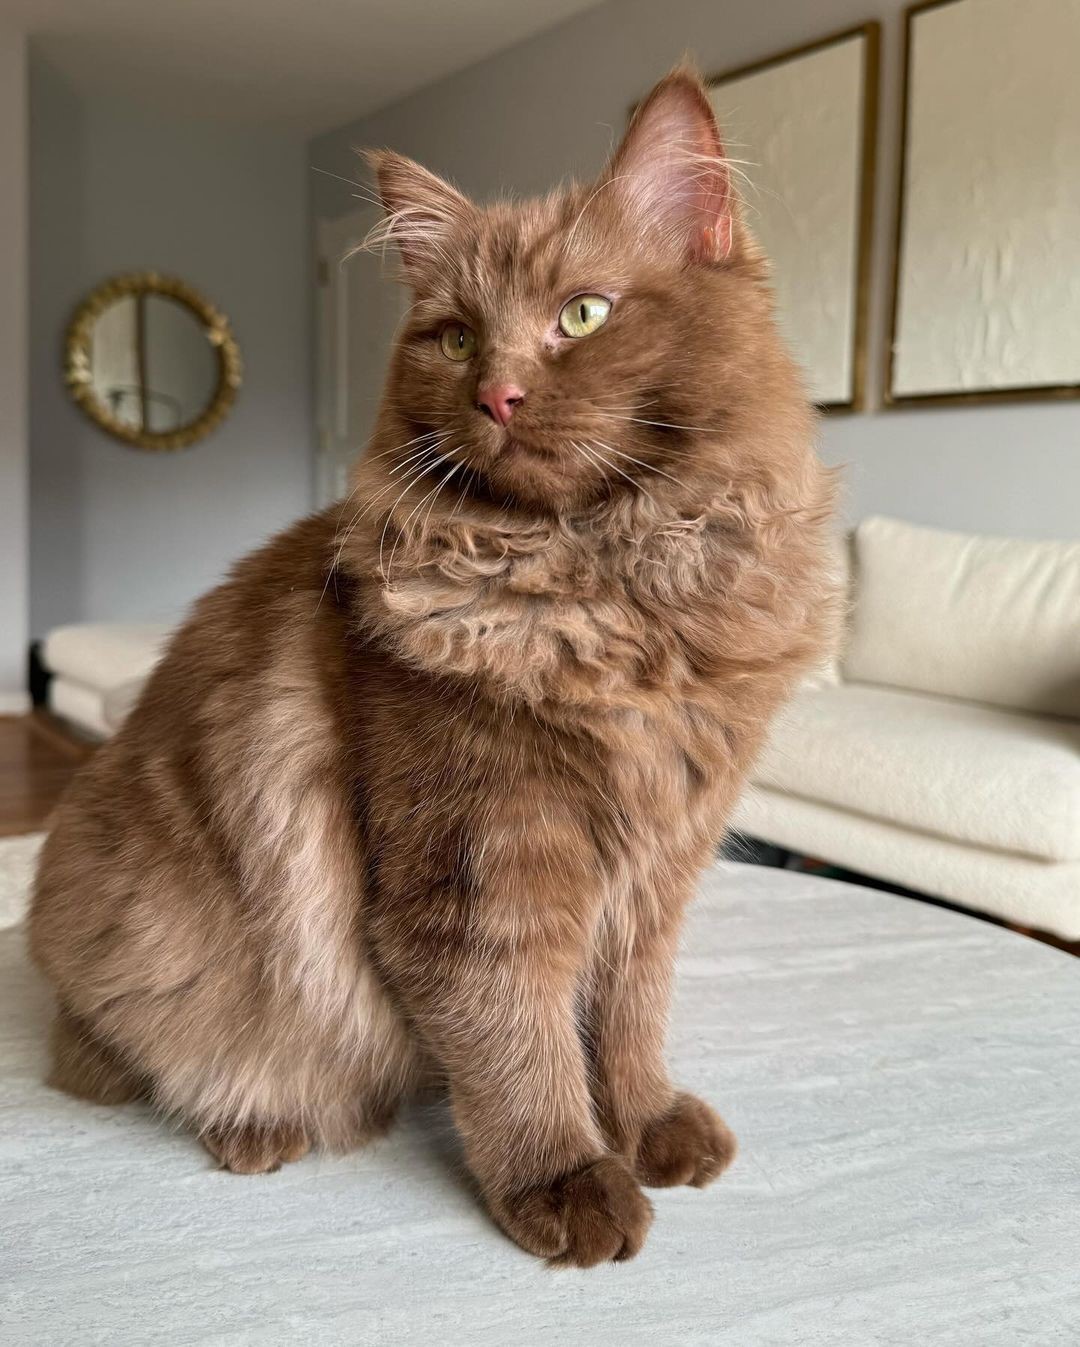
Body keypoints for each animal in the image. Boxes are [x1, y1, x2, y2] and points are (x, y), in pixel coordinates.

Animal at [27, 68, 834, 1266]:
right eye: (454, 340)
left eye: (581, 314)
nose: (496, 395)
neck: (608, 591)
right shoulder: (479, 866)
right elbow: (519, 1043)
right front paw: (566, 1182)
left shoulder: (659, 866)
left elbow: (629, 1017)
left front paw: (645, 1126)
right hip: (151, 940)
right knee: (136, 1057)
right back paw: (254, 1123)